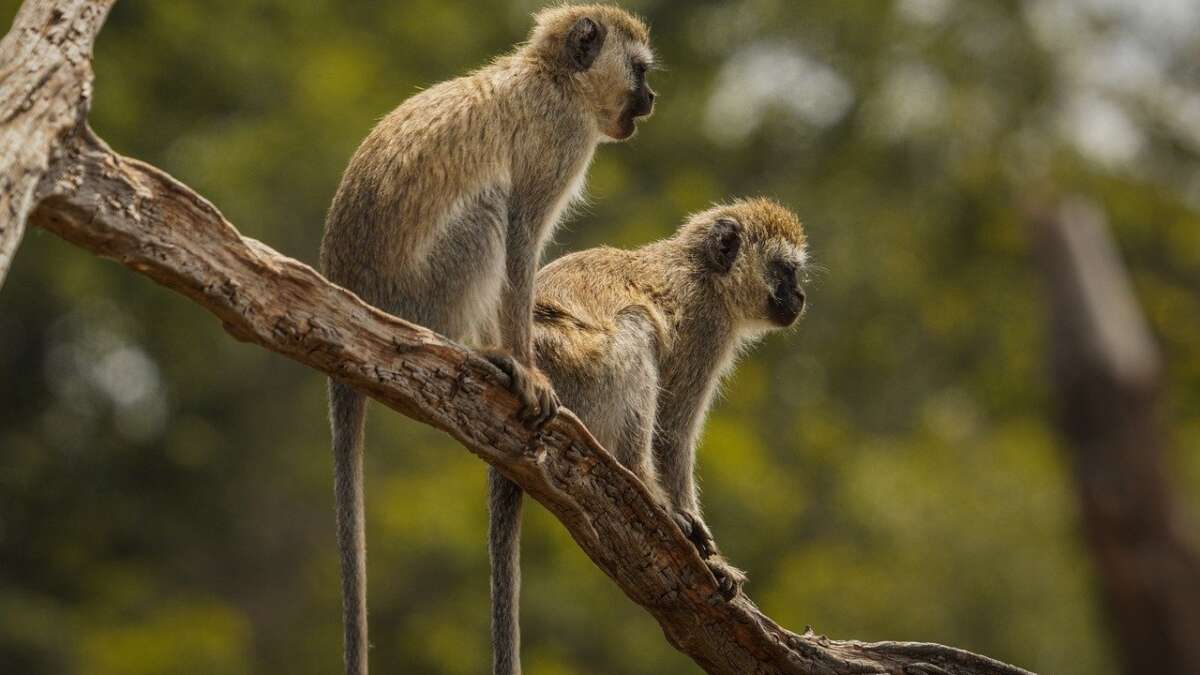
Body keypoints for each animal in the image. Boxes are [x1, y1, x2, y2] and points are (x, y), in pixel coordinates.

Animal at [319, 6, 657, 672]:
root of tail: (351, 294)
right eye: (639, 70)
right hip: (420, 296)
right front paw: (528, 366)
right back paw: (477, 350)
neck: (553, 79)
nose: (652, 98)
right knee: (491, 206)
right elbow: (522, 234)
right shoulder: (559, 142)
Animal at [489, 198, 816, 672]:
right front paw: (707, 552)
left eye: (796, 274)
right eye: (784, 270)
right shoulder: (706, 327)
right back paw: (645, 487)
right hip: (579, 372)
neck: (704, 272)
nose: (800, 296)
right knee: (637, 328)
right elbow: (673, 433)